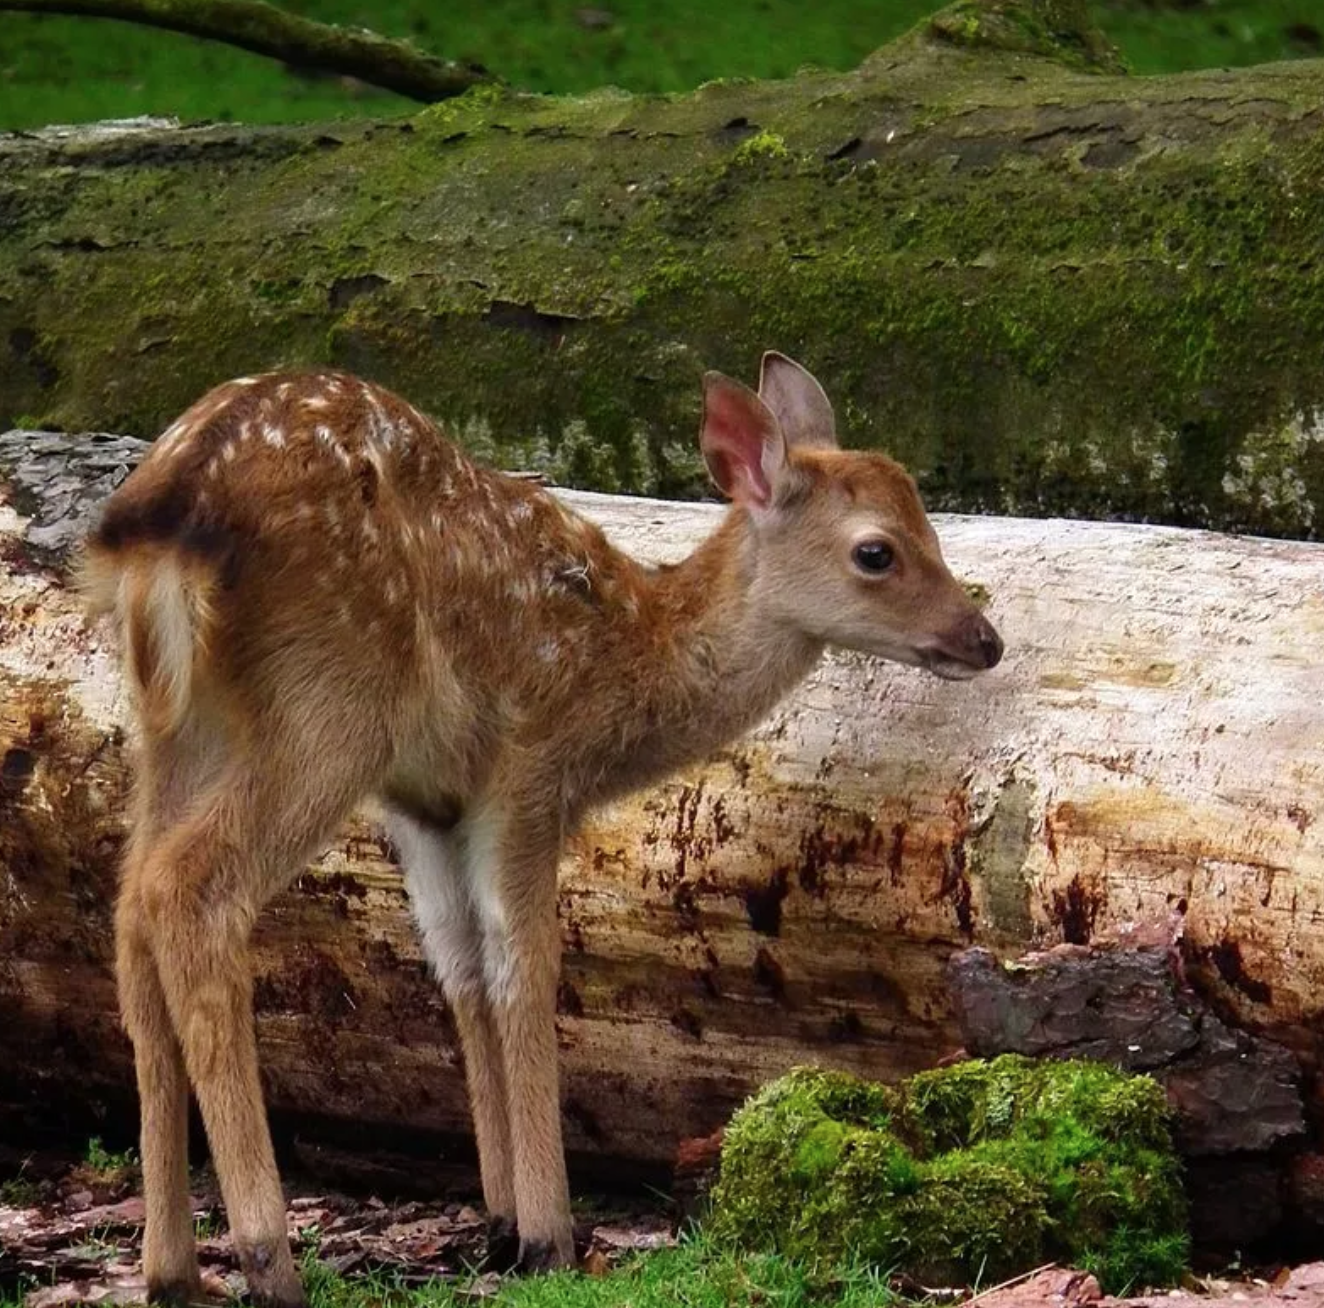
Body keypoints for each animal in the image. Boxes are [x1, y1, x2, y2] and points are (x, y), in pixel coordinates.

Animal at [77, 352, 995, 1302]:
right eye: (876, 551)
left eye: (929, 524)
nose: (985, 639)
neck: (630, 657)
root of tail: (163, 516)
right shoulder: (527, 768)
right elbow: (526, 965)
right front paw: (551, 1235)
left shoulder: (427, 804)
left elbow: (463, 968)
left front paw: (501, 1221)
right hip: (331, 705)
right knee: (189, 889)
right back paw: (267, 1257)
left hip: (175, 721)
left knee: (131, 904)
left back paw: (171, 1265)